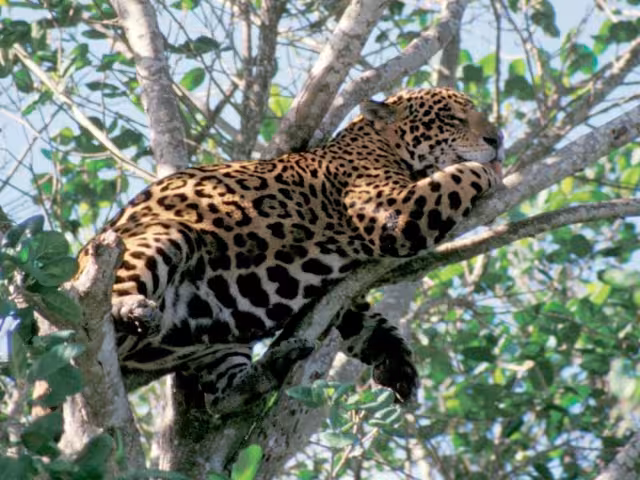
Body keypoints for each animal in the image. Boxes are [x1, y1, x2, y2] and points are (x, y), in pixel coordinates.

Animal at [77, 87, 504, 414]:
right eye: (451, 118)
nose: (497, 140)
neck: (375, 141)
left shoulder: (343, 295)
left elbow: (370, 322)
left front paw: (398, 365)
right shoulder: (391, 208)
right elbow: (458, 175)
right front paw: (490, 172)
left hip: (216, 337)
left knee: (221, 399)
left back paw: (266, 372)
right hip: (162, 236)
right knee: (102, 305)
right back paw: (128, 308)